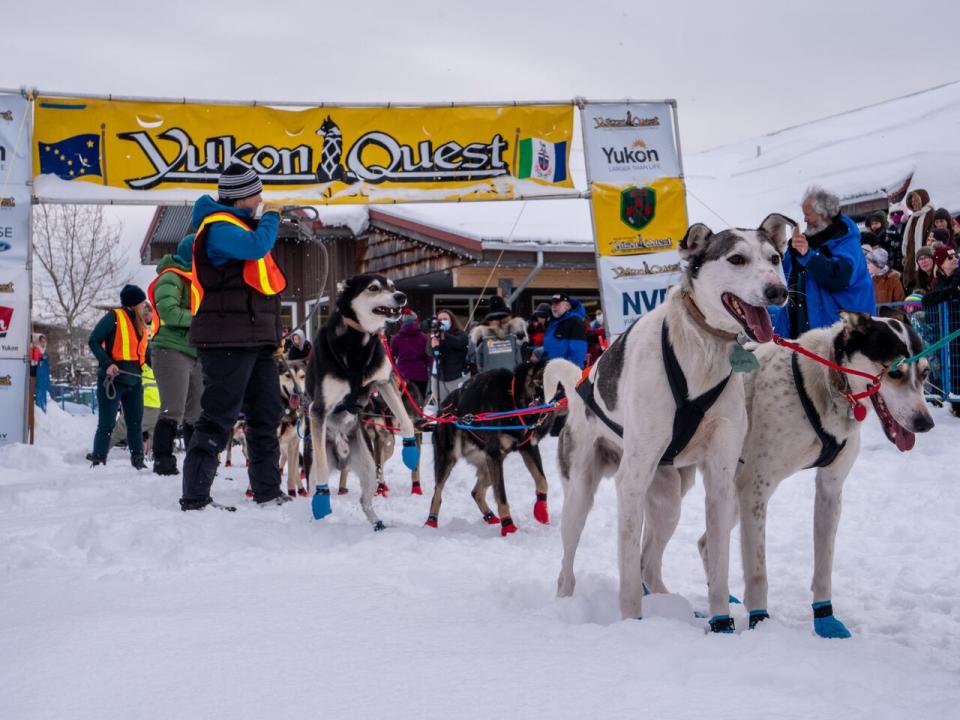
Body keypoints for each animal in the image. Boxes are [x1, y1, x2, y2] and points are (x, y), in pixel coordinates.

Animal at [304, 272, 416, 528]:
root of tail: (343, 459)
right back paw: (317, 515)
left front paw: (410, 450)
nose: (401, 296)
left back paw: (377, 523)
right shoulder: (319, 408)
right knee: (316, 481)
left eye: (392, 286)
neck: (359, 341)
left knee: (365, 501)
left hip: (370, 468)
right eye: (373, 288)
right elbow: (322, 470)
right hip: (314, 465)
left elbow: (407, 421)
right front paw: (322, 501)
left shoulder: (385, 382)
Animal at [424, 360, 568, 536]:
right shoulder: (495, 454)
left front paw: (541, 510)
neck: (515, 401)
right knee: (437, 492)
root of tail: (442, 408)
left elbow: (542, 481)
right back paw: (431, 522)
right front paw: (509, 526)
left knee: (476, 492)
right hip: (449, 459)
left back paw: (490, 517)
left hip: (488, 465)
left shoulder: (528, 448)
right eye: (561, 388)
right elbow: (502, 496)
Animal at [552, 212, 792, 632]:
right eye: (737, 259)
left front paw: (721, 624)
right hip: (581, 495)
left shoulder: (721, 477)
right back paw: (567, 605)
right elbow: (627, 571)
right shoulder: (631, 479)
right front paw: (632, 624)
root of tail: (579, 387)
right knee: (569, 565)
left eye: (775, 258)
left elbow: (718, 565)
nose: (778, 291)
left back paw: (670, 603)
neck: (701, 347)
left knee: (649, 560)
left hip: (667, 502)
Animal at [636, 312, 936, 640]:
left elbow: (823, 566)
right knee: (645, 555)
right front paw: (759, 622)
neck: (825, 381)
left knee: (704, 543)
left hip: (728, 496)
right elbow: (757, 574)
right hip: (681, 498)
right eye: (894, 372)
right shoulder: (756, 489)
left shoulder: (829, 489)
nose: (926, 423)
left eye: (925, 373)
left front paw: (825, 619)